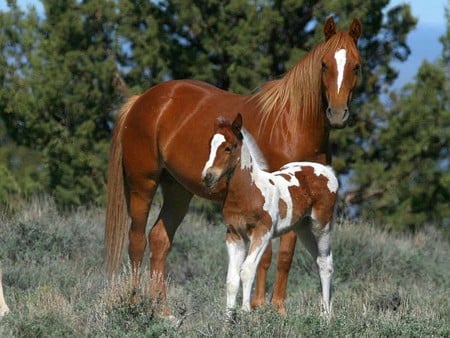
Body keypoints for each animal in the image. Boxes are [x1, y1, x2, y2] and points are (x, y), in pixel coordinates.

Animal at [201, 114, 338, 320]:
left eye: (229, 147)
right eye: (210, 145)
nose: (207, 177)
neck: (250, 191)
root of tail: (327, 171)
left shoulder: (262, 233)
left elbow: (247, 270)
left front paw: (246, 313)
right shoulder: (234, 236)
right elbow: (232, 280)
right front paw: (228, 321)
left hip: (321, 225)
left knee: (325, 262)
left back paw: (326, 317)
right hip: (303, 229)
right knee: (317, 259)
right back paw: (325, 310)